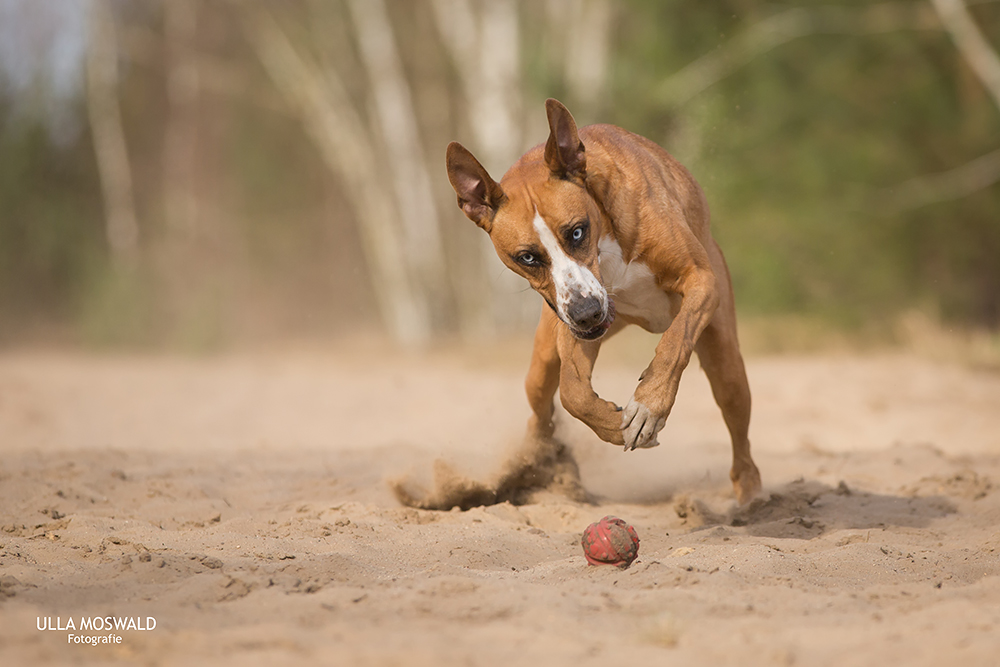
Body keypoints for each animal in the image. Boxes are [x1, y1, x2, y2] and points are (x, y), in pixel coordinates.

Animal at [444, 99, 756, 504]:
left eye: (577, 232)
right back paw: (535, 467)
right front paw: (613, 425)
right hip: (543, 360)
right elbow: (572, 393)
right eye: (527, 257)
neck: (605, 235)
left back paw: (751, 493)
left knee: (737, 422)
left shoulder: (700, 279)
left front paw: (650, 404)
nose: (586, 313)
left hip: (726, 361)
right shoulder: (573, 329)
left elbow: (675, 342)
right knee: (540, 412)